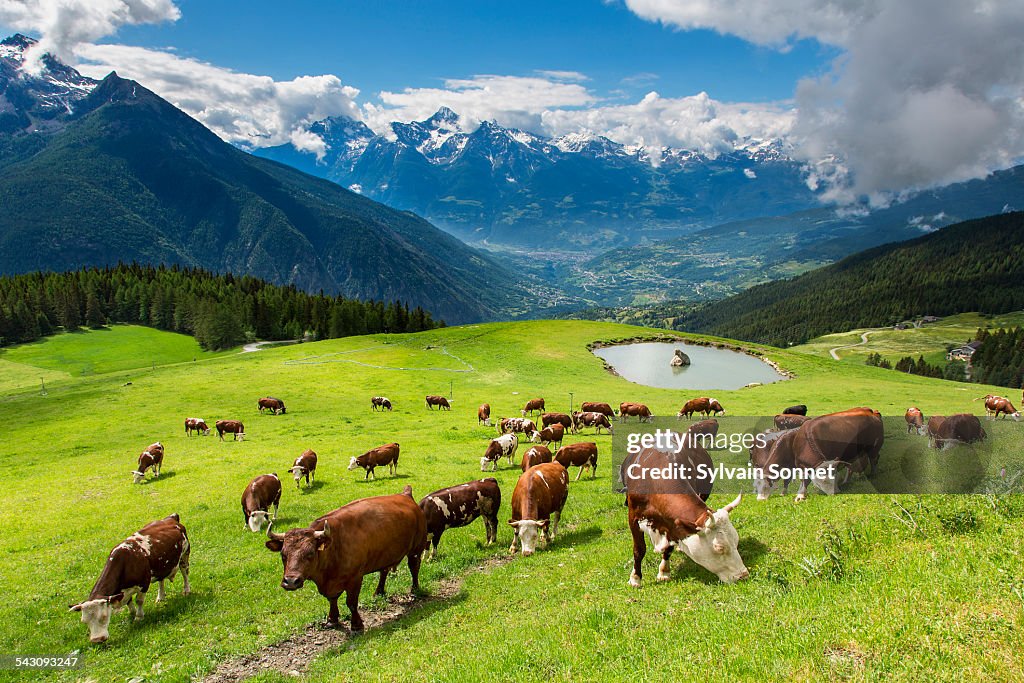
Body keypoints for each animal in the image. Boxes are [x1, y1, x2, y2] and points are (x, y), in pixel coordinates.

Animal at [266, 485, 425, 630]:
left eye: (310, 553)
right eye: (283, 554)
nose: (291, 581)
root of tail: (405, 495)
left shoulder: (355, 578)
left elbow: (351, 603)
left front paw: (356, 625)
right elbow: (332, 599)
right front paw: (332, 619)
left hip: (416, 548)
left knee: (414, 567)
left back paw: (415, 589)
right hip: (386, 553)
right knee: (384, 571)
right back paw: (379, 591)